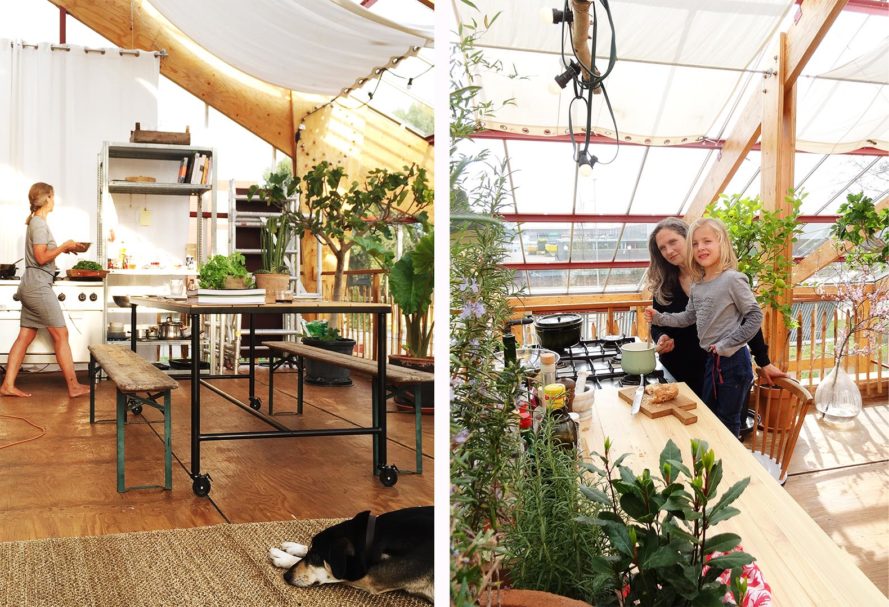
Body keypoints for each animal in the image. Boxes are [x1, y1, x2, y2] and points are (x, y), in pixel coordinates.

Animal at [268, 508, 434, 604]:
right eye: (312, 552)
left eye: (316, 557)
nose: (286, 576)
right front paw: (294, 547)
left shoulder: (371, 579)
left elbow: (337, 575)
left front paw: (283, 557)